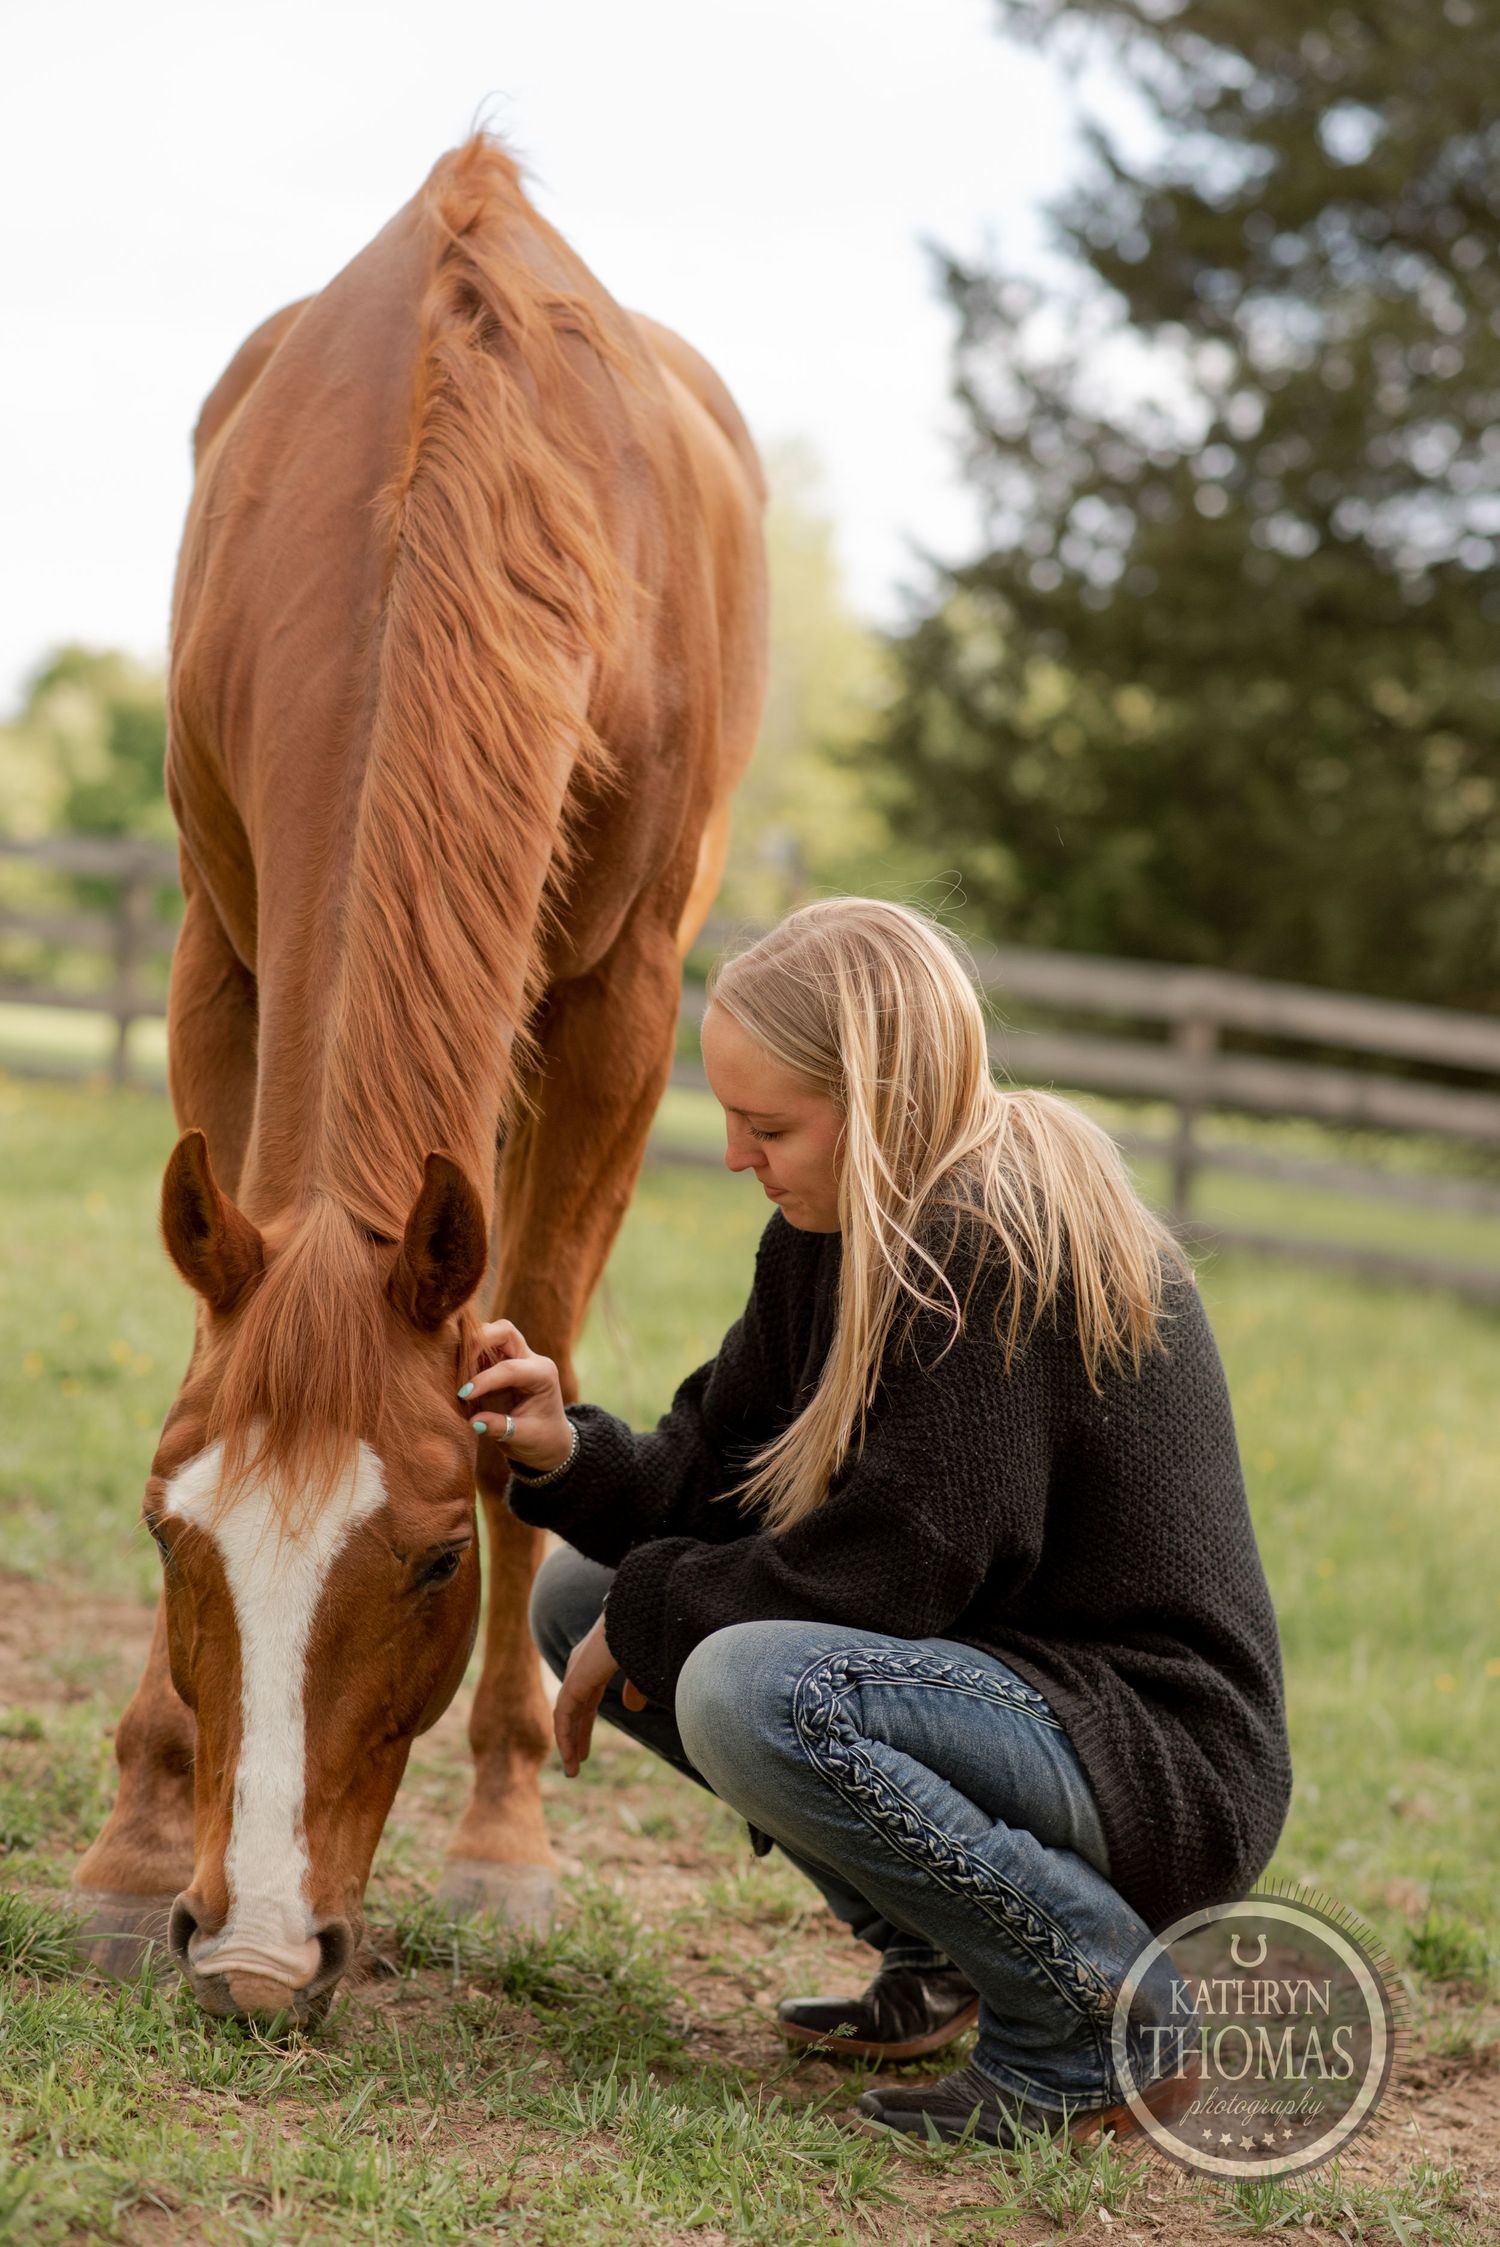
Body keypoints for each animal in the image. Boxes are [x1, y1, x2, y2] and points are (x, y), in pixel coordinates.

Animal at [72, 134, 767, 2022]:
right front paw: (135, 1840)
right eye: (167, 1531)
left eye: (441, 1555)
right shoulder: (221, 954)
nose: (252, 1957)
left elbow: (543, 1347)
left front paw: (506, 1840)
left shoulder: (622, 1005)